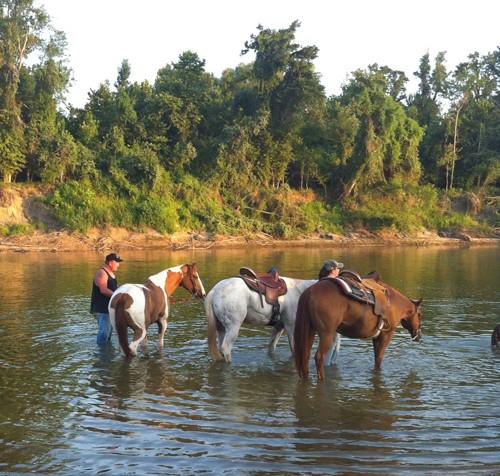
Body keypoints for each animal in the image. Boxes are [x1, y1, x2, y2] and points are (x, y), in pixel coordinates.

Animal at [292, 276, 422, 380]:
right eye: (420, 315)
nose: (419, 335)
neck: (395, 304)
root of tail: (309, 292)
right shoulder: (386, 335)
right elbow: (379, 359)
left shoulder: (376, 337)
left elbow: (376, 358)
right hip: (326, 334)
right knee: (318, 357)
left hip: (310, 331)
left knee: (305, 356)